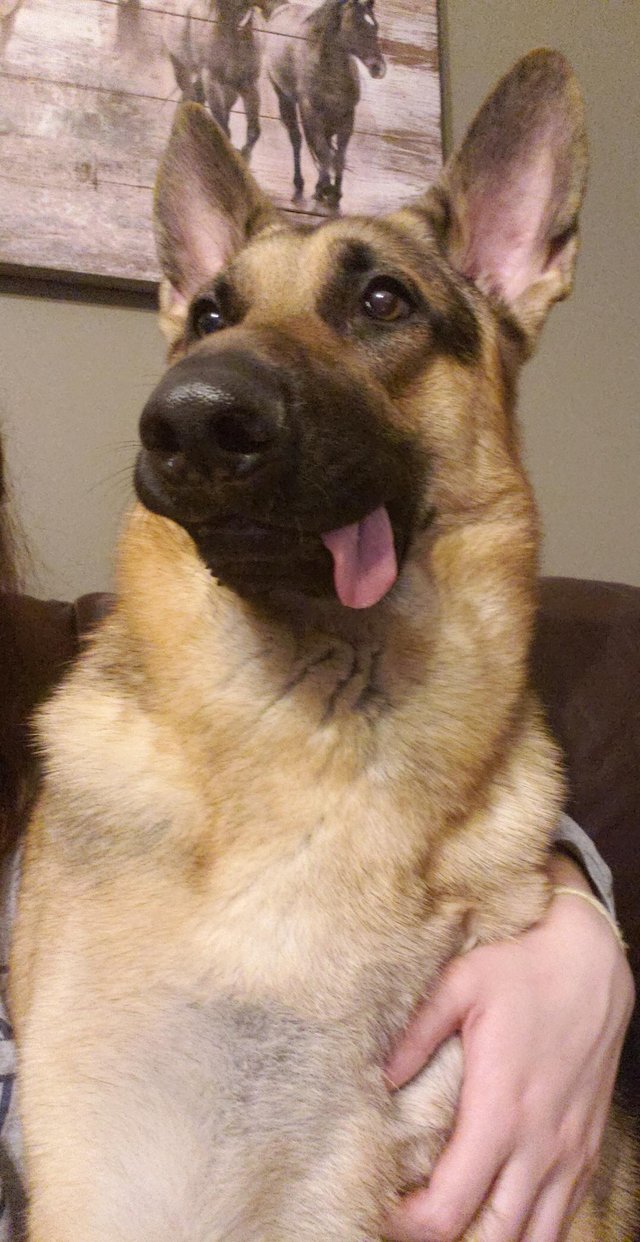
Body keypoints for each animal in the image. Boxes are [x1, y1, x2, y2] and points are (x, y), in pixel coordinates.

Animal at [166, 0, 272, 160]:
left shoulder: (249, 86)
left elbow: (253, 131)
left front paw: (244, 155)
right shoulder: (211, 79)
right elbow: (222, 126)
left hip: (228, 89)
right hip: (181, 66)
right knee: (190, 97)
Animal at [265, 0, 385, 206]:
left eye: (375, 26)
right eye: (356, 24)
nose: (378, 68)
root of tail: (281, 9)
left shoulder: (346, 117)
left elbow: (338, 155)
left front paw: (335, 191)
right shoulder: (311, 114)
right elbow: (323, 152)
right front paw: (325, 189)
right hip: (286, 100)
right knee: (297, 139)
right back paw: (300, 182)